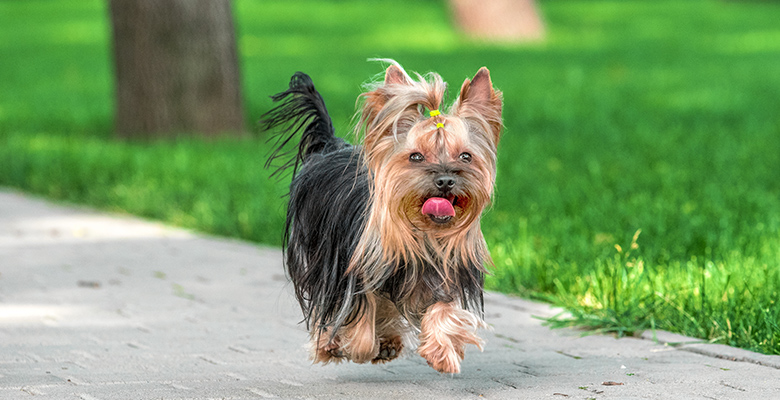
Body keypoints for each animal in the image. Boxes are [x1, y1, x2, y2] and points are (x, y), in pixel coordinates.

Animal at [262, 61, 502, 374]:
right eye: (416, 157)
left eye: (465, 156)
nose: (446, 180)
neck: (423, 233)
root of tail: (331, 147)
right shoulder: (350, 270)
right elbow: (358, 313)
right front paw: (351, 345)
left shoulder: (443, 271)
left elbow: (443, 309)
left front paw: (441, 352)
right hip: (316, 253)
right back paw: (331, 343)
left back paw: (387, 341)